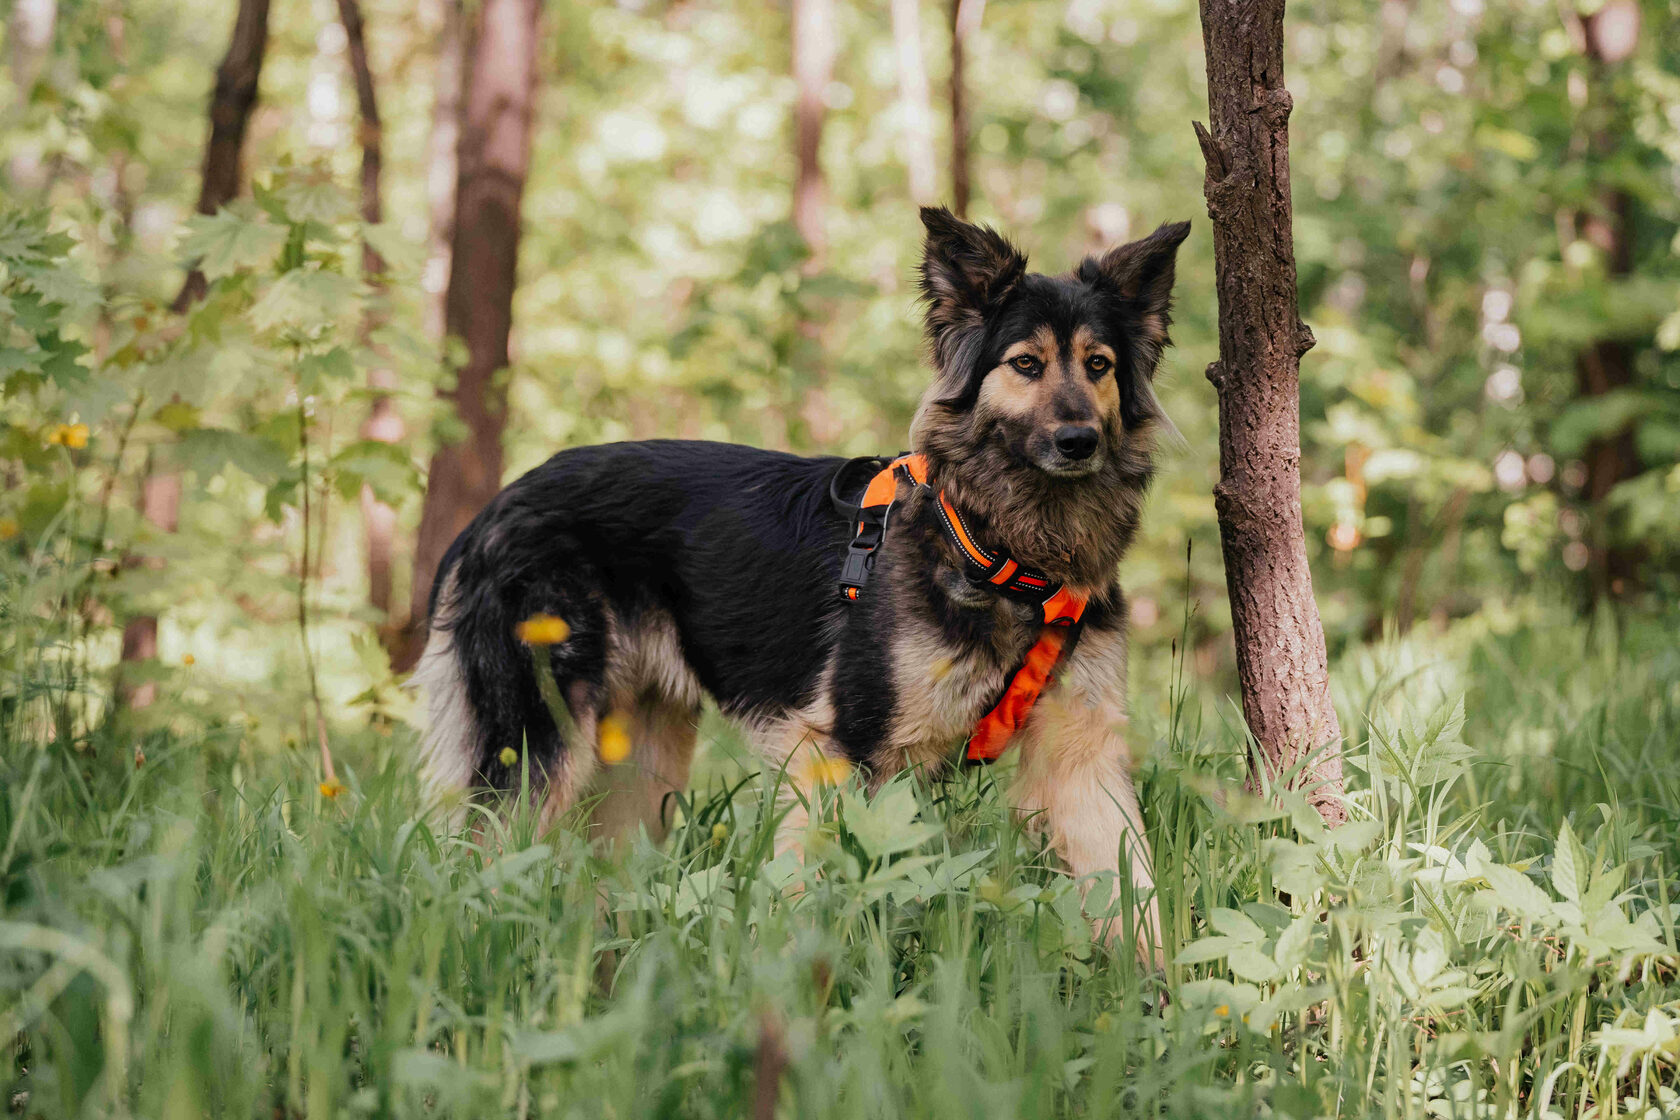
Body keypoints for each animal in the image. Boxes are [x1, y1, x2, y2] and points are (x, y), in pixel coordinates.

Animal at [413, 209, 1189, 967]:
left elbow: (1133, 888)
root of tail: (495, 507)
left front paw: (1160, 994)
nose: (1079, 441)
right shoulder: (845, 749)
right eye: (1026, 364)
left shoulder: (1082, 754)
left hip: (639, 763)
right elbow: (830, 890)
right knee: (476, 866)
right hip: (539, 742)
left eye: (1098, 366)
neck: (1002, 554)